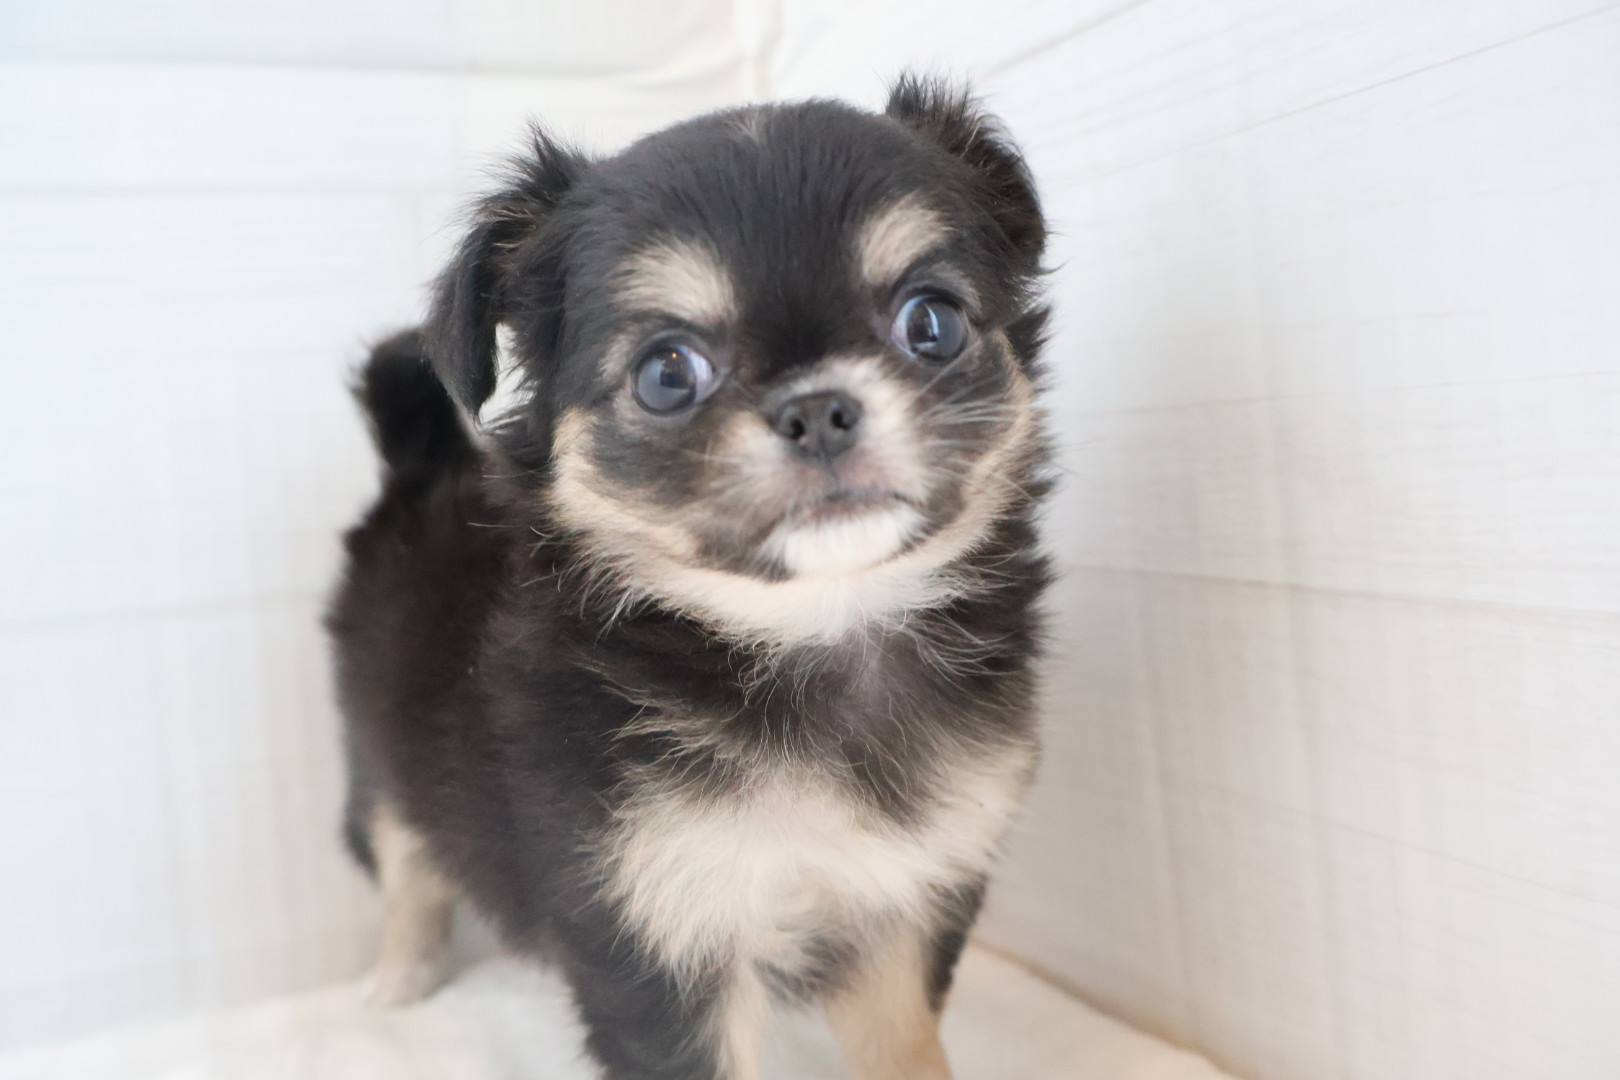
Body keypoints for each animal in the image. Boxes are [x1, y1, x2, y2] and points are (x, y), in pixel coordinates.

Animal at [326, 74, 1051, 1080]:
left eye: (931, 322)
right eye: (668, 374)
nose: (818, 410)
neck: (809, 636)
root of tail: (419, 466)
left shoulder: (902, 906)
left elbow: (905, 1047)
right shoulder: (656, 938)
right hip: (374, 757)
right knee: (406, 864)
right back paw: (400, 977)